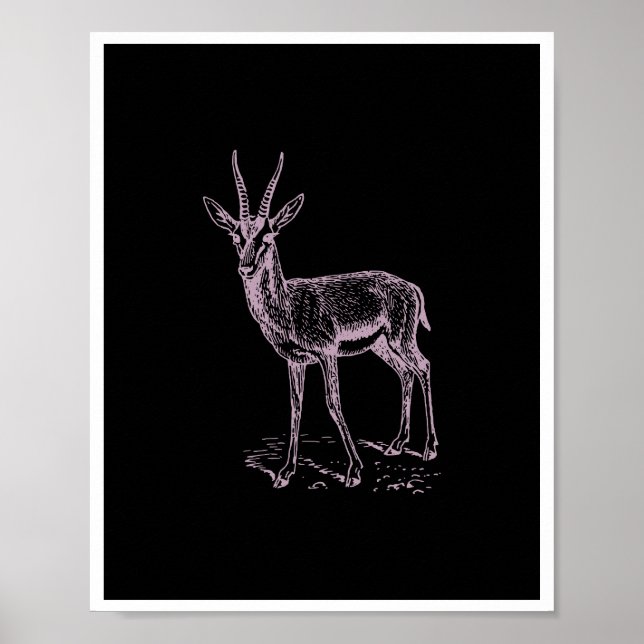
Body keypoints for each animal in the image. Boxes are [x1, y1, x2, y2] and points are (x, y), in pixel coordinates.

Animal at [203, 151, 438, 489]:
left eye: (268, 236)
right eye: (236, 236)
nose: (245, 268)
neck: (288, 305)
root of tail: (412, 286)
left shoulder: (327, 353)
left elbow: (333, 402)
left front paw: (354, 470)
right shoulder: (295, 360)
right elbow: (296, 407)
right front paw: (285, 472)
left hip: (400, 340)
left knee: (424, 367)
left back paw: (429, 449)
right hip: (382, 346)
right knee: (406, 374)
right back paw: (396, 445)